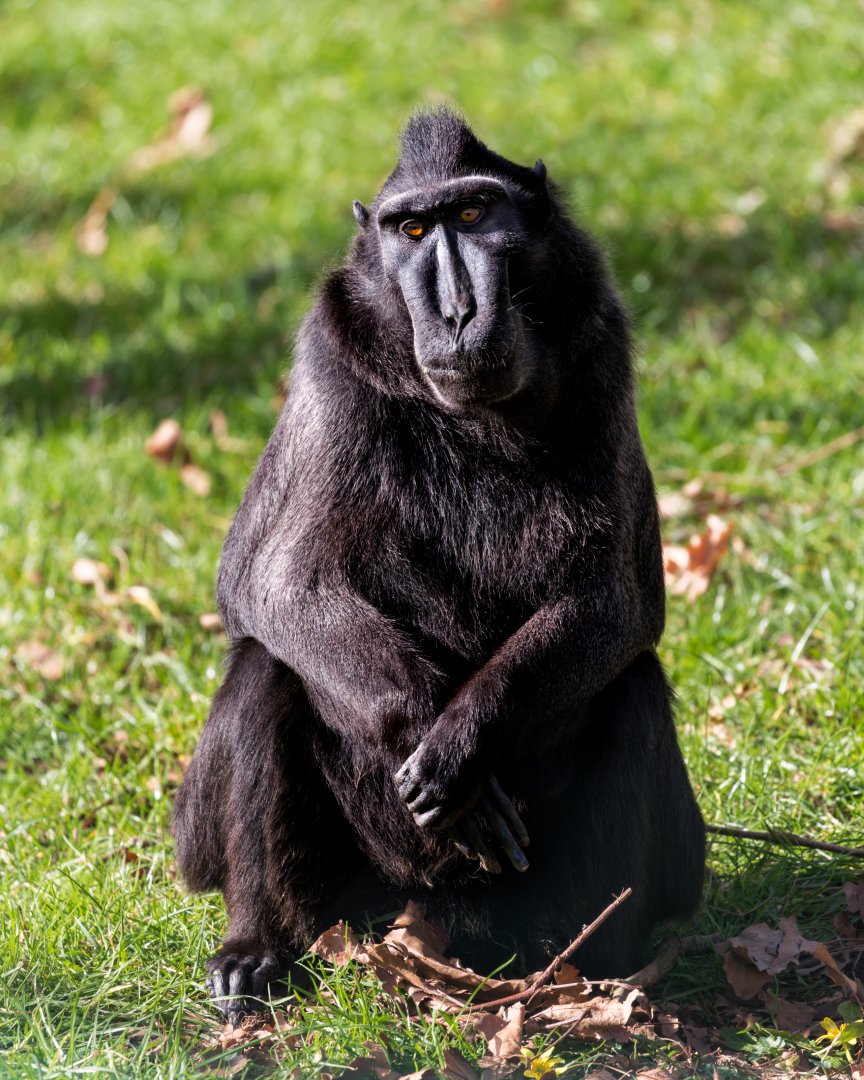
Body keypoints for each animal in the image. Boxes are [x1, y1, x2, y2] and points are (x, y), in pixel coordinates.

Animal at [173, 107, 706, 1025]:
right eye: (412, 230)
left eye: (474, 214)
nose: (458, 312)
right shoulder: (332, 372)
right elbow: (274, 587)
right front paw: (427, 730)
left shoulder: (603, 352)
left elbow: (619, 602)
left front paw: (463, 742)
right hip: (337, 885)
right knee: (267, 668)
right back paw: (256, 948)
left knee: (630, 680)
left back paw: (600, 968)